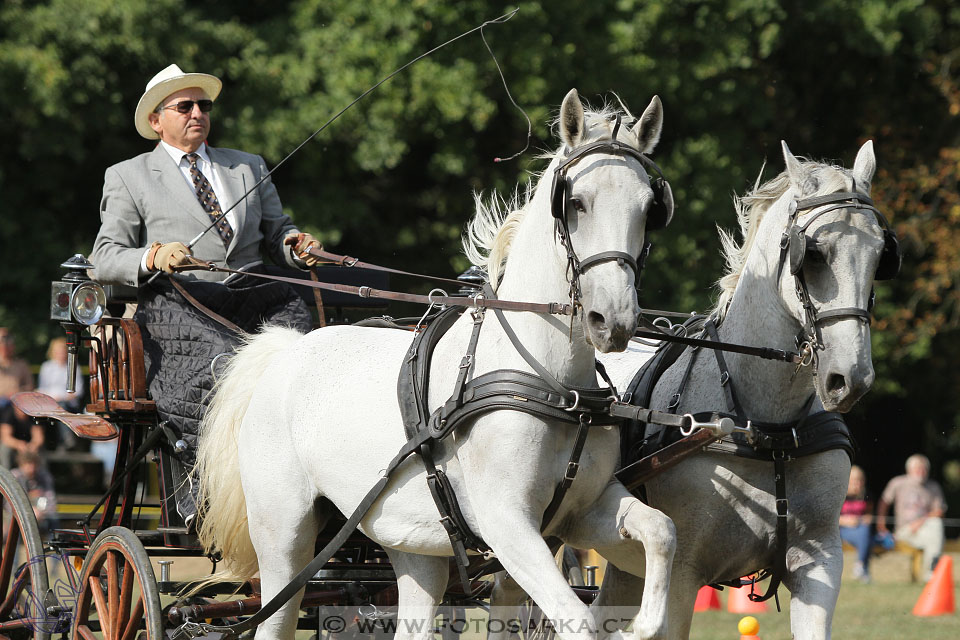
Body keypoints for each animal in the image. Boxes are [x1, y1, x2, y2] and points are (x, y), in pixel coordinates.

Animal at [195, 89, 676, 640]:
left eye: (649, 209)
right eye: (575, 202)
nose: (612, 320)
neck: (551, 384)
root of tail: (287, 352)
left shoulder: (586, 512)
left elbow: (662, 532)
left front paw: (643, 624)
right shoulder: (507, 522)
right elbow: (577, 619)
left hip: (412, 543)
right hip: (284, 537)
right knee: (275, 612)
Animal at [596, 140, 888, 640]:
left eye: (880, 253)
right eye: (814, 254)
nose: (849, 378)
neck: (769, 428)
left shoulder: (820, 561)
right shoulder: (681, 575)